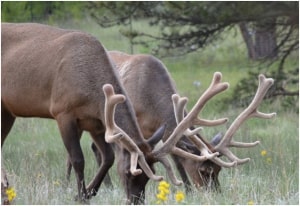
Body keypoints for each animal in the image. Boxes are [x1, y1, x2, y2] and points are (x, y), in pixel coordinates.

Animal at [0, 23, 227, 204]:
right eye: (129, 172)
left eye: (150, 175)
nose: (136, 201)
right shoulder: (62, 112)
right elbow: (78, 159)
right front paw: (80, 195)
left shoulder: (97, 122)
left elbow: (108, 157)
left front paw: (87, 192)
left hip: (7, 111)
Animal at [74, 51, 276, 201]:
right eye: (203, 171)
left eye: (218, 170)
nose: (217, 195)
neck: (150, 101)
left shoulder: (161, 132)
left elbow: (177, 159)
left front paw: (188, 191)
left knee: (95, 148)